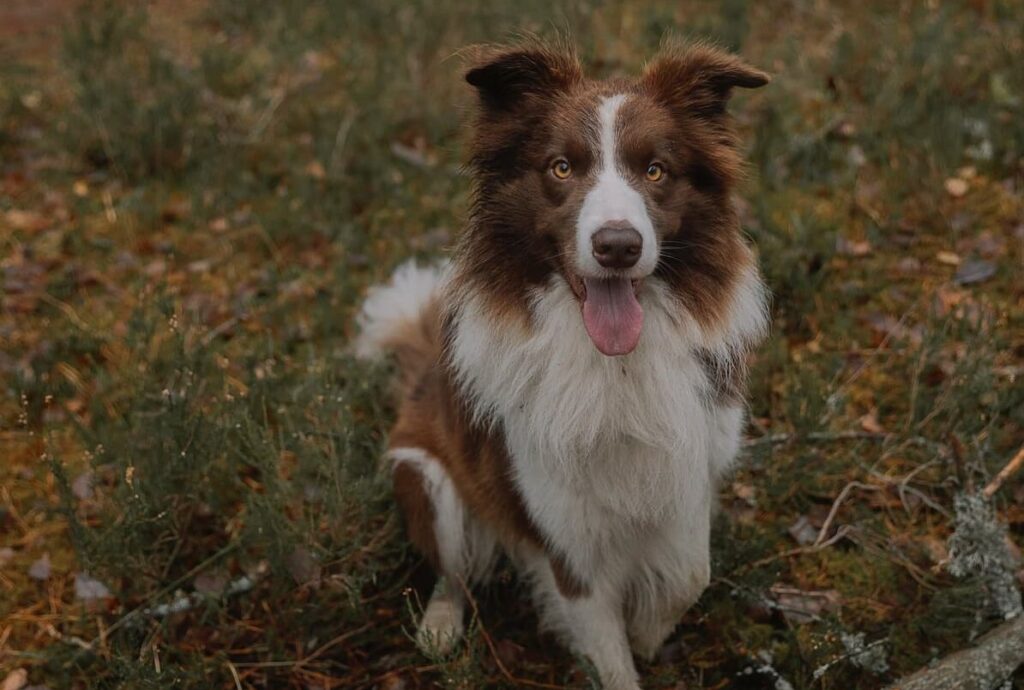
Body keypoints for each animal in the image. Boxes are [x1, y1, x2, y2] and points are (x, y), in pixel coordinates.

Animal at [358, 40, 770, 683]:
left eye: (655, 170)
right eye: (561, 168)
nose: (618, 246)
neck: (612, 364)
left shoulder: (690, 467)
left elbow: (689, 573)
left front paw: (648, 632)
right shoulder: (561, 529)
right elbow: (608, 654)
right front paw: (629, 649)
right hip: (426, 477)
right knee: (453, 572)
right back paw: (440, 626)